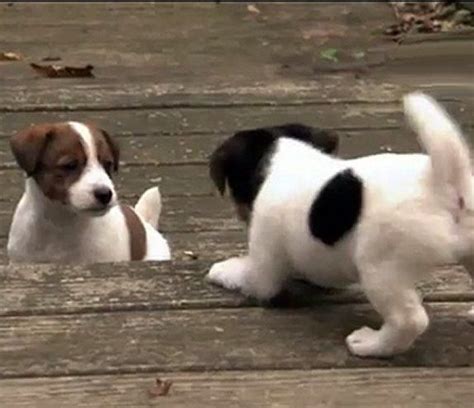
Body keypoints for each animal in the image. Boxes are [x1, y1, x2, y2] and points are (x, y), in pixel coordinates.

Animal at [208, 95, 474, 356]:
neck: (288, 159)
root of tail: (446, 187)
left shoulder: (263, 269)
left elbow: (246, 275)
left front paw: (222, 270)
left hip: (381, 269)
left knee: (410, 320)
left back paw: (370, 344)